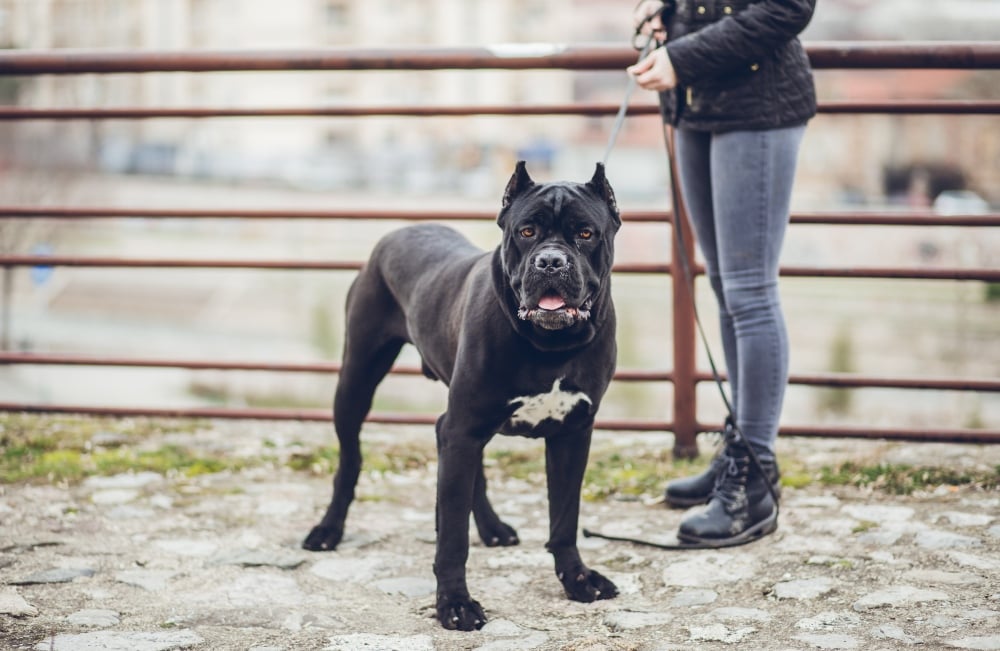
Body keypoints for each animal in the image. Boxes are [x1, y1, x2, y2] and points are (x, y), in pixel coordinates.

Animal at [300, 162, 620, 632]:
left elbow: (564, 517)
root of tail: (402, 230)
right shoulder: (464, 428)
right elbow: (452, 538)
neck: (549, 345)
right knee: (350, 461)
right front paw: (454, 603)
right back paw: (327, 530)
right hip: (357, 381)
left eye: (585, 233)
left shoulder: (571, 433)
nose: (550, 260)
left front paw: (577, 578)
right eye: (526, 231)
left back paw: (492, 528)